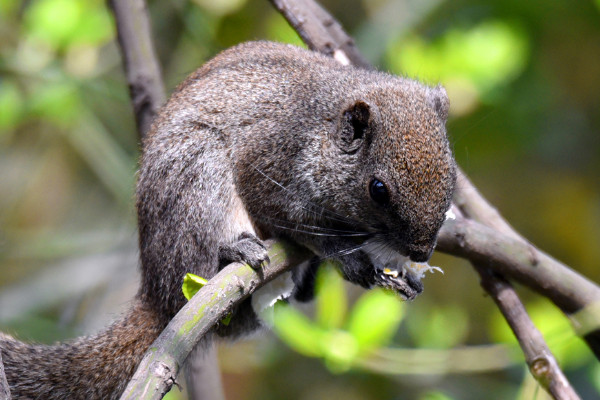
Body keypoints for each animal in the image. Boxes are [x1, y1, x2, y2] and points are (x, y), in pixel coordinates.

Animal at [0, 41, 454, 400]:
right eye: (378, 189)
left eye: (452, 172)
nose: (421, 251)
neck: (317, 127)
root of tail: (159, 294)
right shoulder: (270, 169)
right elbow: (298, 224)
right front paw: (350, 258)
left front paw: (405, 275)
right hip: (196, 176)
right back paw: (236, 248)